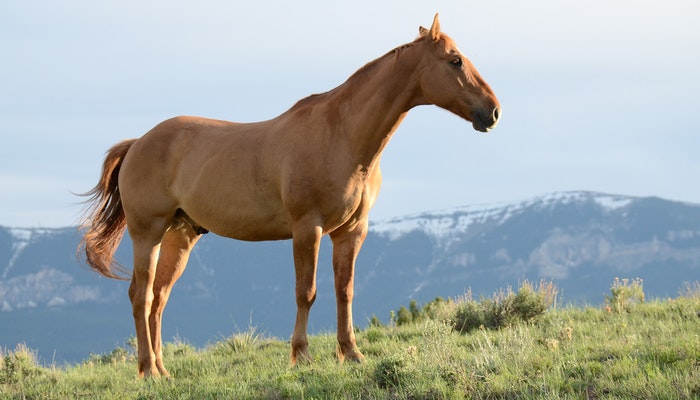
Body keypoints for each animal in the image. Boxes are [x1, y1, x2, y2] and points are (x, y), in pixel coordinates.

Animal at [79, 14, 500, 378]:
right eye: (455, 60)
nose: (493, 111)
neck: (341, 135)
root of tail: (138, 143)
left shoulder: (351, 231)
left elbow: (344, 291)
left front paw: (352, 353)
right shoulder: (307, 229)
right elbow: (306, 292)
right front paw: (301, 356)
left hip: (179, 236)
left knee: (159, 298)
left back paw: (162, 370)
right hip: (147, 233)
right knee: (141, 296)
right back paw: (148, 370)